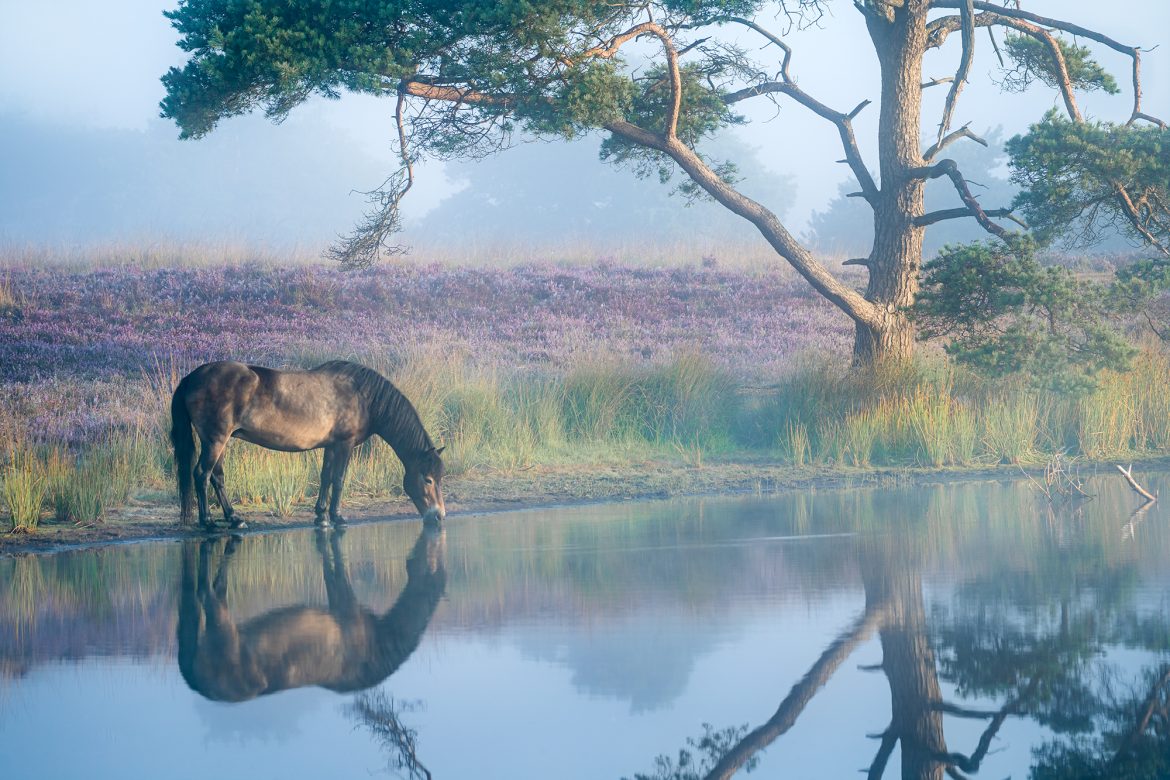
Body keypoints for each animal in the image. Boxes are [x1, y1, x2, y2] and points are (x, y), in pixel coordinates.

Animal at [170, 360, 445, 529]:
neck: (363, 395)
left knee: (217, 477)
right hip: (215, 440)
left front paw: (321, 516)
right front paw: (338, 516)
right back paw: (208, 522)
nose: (439, 516)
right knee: (201, 474)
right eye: (429, 479)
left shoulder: (331, 446)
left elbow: (326, 477)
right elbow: (339, 479)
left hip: (221, 442)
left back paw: (235, 518)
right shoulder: (344, 444)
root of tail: (191, 377)